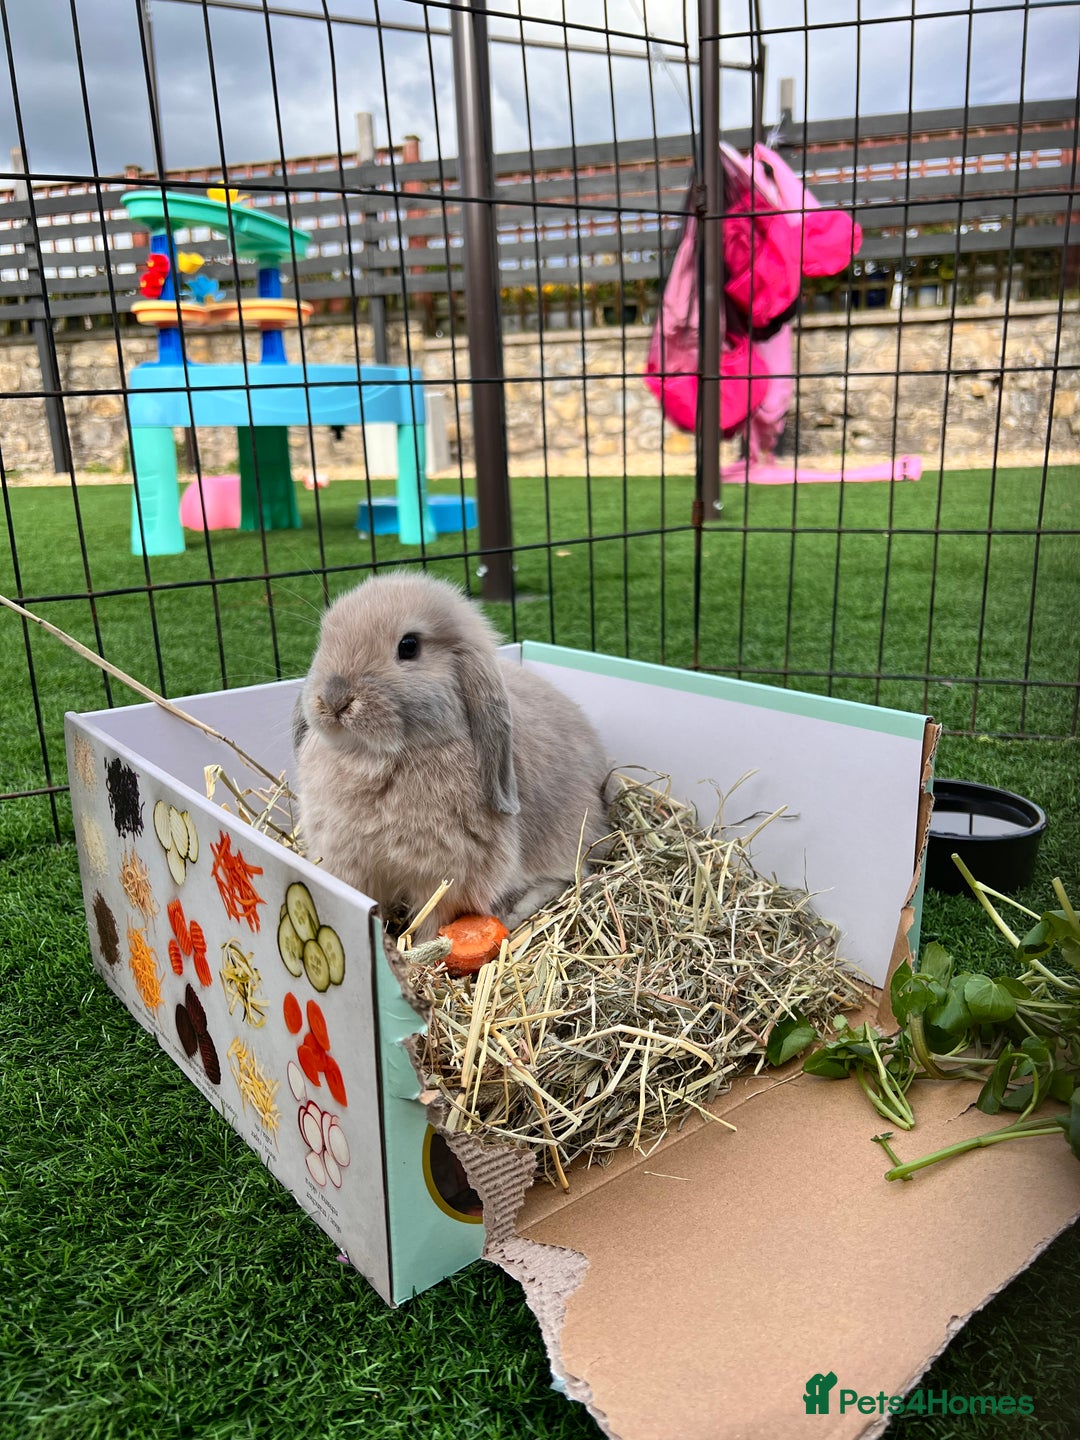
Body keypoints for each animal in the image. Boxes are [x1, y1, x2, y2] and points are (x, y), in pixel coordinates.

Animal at [291, 570, 611, 940]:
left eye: (409, 646)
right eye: (324, 638)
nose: (334, 699)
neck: (378, 758)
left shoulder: (446, 882)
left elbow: (433, 922)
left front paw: (422, 949)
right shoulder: (352, 866)